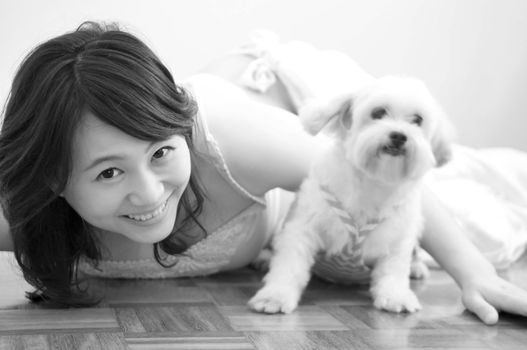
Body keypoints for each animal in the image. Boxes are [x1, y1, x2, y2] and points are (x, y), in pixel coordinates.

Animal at [249, 75, 454, 314]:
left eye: (417, 120)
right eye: (378, 112)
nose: (399, 136)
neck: (372, 183)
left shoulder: (399, 239)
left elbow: (393, 272)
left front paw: (396, 296)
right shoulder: (303, 227)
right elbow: (289, 266)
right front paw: (275, 295)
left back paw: (417, 268)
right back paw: (264, 258)